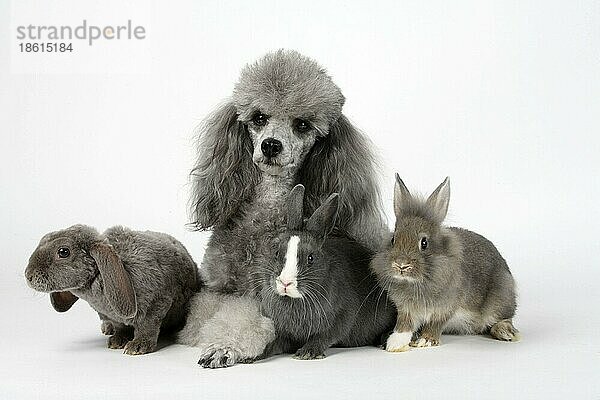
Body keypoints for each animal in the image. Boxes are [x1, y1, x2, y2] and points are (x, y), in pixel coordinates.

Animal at [25, 225, 199, 356]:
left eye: (63, 252)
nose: (28, 275)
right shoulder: (111, 315)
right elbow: (120, 326)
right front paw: (117, 340)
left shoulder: (156, 304)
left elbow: (147, 327)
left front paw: (138, 346)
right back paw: (107, 329)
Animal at [256, 184, 394, 360]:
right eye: (276, 252)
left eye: (310, 258)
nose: (285, 282)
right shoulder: (284, 333)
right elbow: (275, 343)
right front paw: (254, 355)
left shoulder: (341, 318)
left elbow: (324, 336)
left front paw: (307, 353)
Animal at [370, 176, 516, 354]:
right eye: (393, 239)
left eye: (424, 243)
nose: (401, 265)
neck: (416, 283)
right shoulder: (406, 309)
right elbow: (404, 324)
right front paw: (394, 344)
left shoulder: (445, 307)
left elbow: (435, 323)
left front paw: (425, 340)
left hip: (501, 297)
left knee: (504, 317)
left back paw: (505, 333)